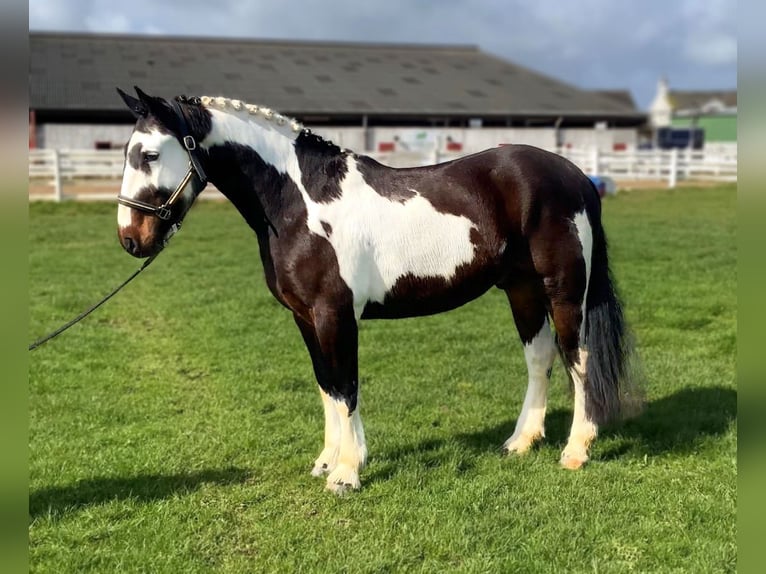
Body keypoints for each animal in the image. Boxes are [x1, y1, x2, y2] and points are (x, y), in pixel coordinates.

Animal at [115, 86, 639, 494]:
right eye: (126, 153)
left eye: (151, 154)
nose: (130, 239)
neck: (300, 201)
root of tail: (576, 176)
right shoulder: (304, 317)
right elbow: (327, 385)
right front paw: (329, 461)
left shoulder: (334, 314)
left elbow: (346, 386)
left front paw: (347, 474)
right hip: (522, 289)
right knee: (539, 356)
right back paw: (521, 442)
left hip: (564, 290)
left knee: (578, 358)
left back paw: (575, 451)